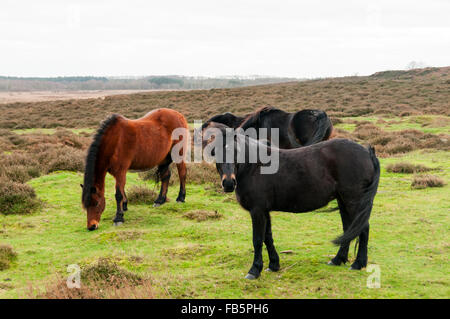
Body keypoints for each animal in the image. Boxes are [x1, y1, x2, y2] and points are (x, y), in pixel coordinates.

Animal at [208, 129, 380, 282]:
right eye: (215, 152)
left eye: (236, 151)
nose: (228, 183)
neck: (255, 166)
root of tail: (367, 152)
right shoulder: (264, 210)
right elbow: (267, 237)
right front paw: (274, 265)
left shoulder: (257, 211)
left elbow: (257, 239)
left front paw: (254, 271)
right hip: (343, 201)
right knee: (348, 229)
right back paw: (337, 260)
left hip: (354, 200)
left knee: (363, 228)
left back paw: (358, 264)